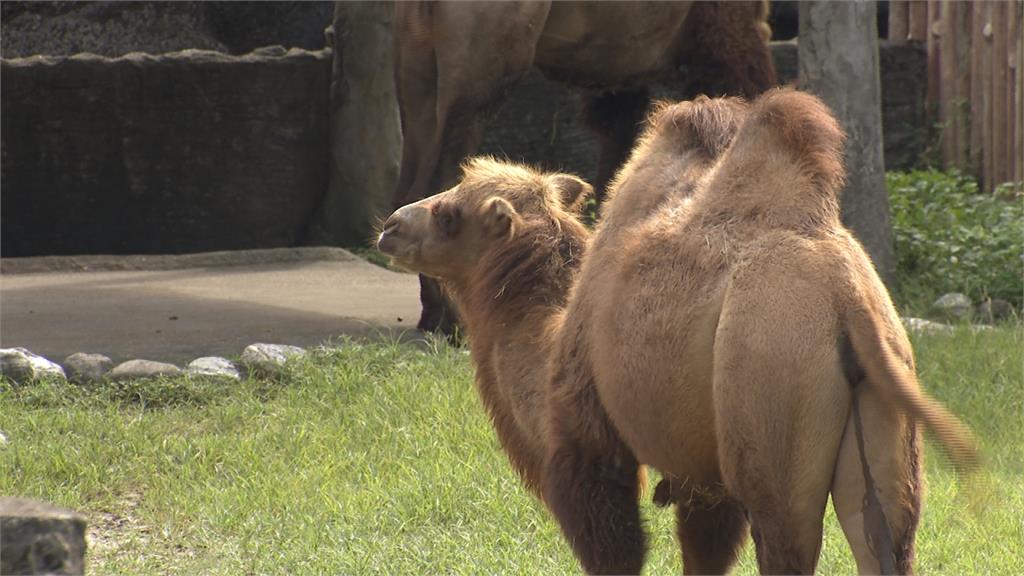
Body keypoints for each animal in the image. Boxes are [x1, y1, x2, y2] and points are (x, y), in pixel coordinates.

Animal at [544, 87, 983, 569]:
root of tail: (850, 303)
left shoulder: (588, 411)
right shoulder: (703, 469)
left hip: (773, 394)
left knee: (786, 535)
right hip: (886, 408)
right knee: (880, 530)